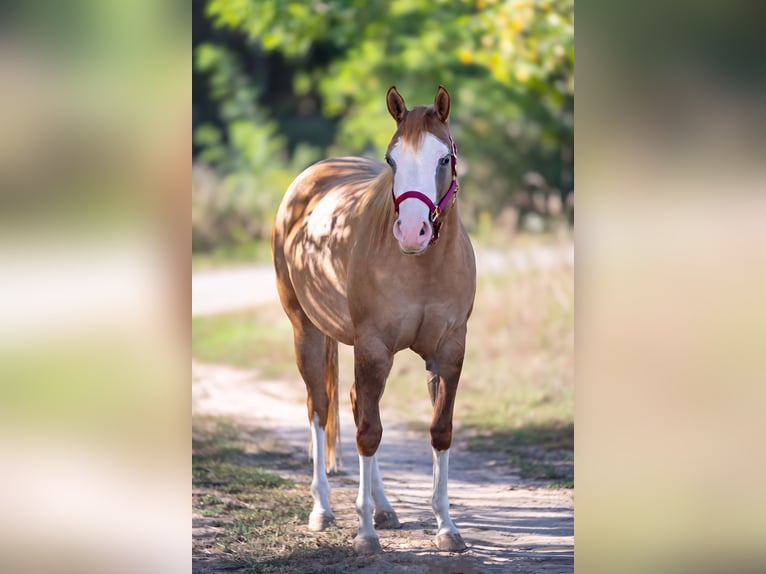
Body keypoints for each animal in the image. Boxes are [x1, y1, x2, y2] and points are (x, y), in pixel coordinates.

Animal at [271, 86, 476, 554]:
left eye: (444, 158)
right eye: (391, 160)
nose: (413, 231)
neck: (422, 267)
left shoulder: (449, 351)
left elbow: (440, 430)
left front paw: (447, 527)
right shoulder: (373, 347)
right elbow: (368, 432)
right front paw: (364, 534)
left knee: (352, 401)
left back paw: (385, 508)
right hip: (306, 332)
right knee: (319, 408)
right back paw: (323, 509)